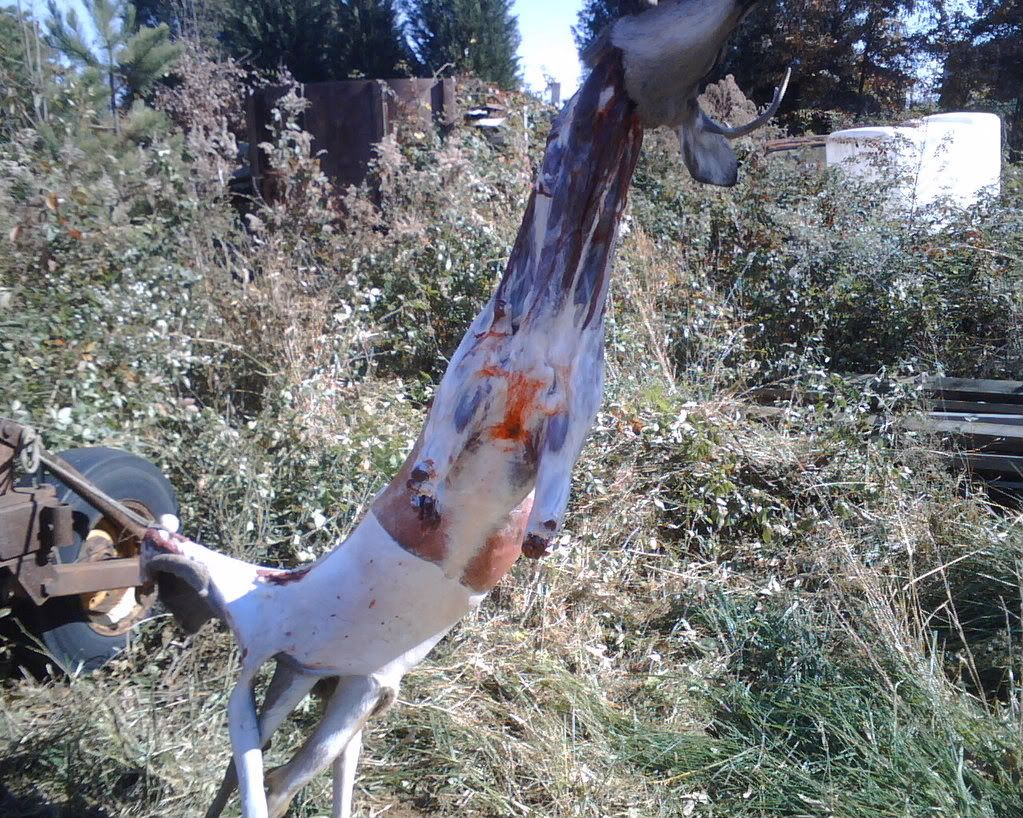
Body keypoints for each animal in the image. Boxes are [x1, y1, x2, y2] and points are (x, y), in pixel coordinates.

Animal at [137, 2, 790, 816]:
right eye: (639, 16)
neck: (545, 324)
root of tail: (273, 612)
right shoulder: (462, 384)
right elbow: (432, 459)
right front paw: (428, 494)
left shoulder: (577, 407)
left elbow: (553, 493)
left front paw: (541, 533)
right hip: (264, 643)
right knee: (256, 770)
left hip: (345, 681)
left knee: (288, 772)